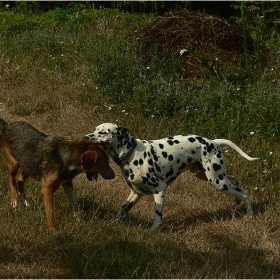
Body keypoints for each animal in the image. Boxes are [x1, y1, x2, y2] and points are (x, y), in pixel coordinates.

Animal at [83, 122, 258, 230]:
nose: (84, 137)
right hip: (208, 176)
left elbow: (157, 215)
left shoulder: (160, 189)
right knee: (234, 179)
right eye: (95, 129)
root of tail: (213, 142)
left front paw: (153, 229)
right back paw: (237, 201)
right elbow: (122, 210)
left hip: (216, 180)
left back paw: (249, 214)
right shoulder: (135, 193)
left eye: (102, 132)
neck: (131, 153)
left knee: (244, 192)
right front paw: (112, 221)